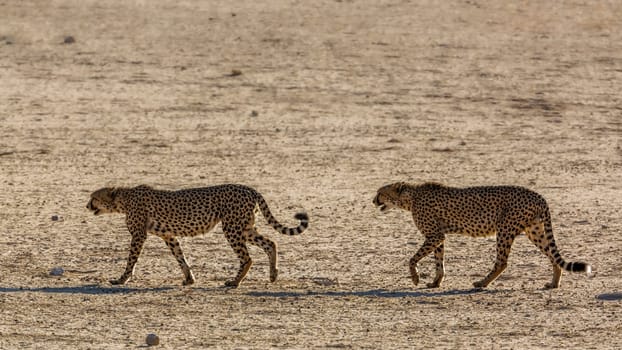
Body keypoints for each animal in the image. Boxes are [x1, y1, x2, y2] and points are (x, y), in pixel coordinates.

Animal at [86, 183, 310, 288]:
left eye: (93, 198)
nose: (87, 205)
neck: (123, 199)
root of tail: (249, 188)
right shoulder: (169, 236)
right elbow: (180, 257)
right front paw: (189, 279)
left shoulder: (139, 235)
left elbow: (131, 260)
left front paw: (122, 279)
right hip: (244, 228)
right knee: (270, 243)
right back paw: (273, 274)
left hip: (232, 228)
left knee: (247, 258)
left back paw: (234, 282)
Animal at [372, 182, 592, 288]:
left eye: (381, 193)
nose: (373, 200)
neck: (410, 198)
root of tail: (539, 196)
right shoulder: (439, 237)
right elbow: (439, 262)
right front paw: (436, 282)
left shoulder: (434, 236)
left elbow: (412, 259)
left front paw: (416, 278)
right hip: (534, 231)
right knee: (552, 256)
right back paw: (554, 284)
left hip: (505, 229)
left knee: (502, 262)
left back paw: (482, 283)